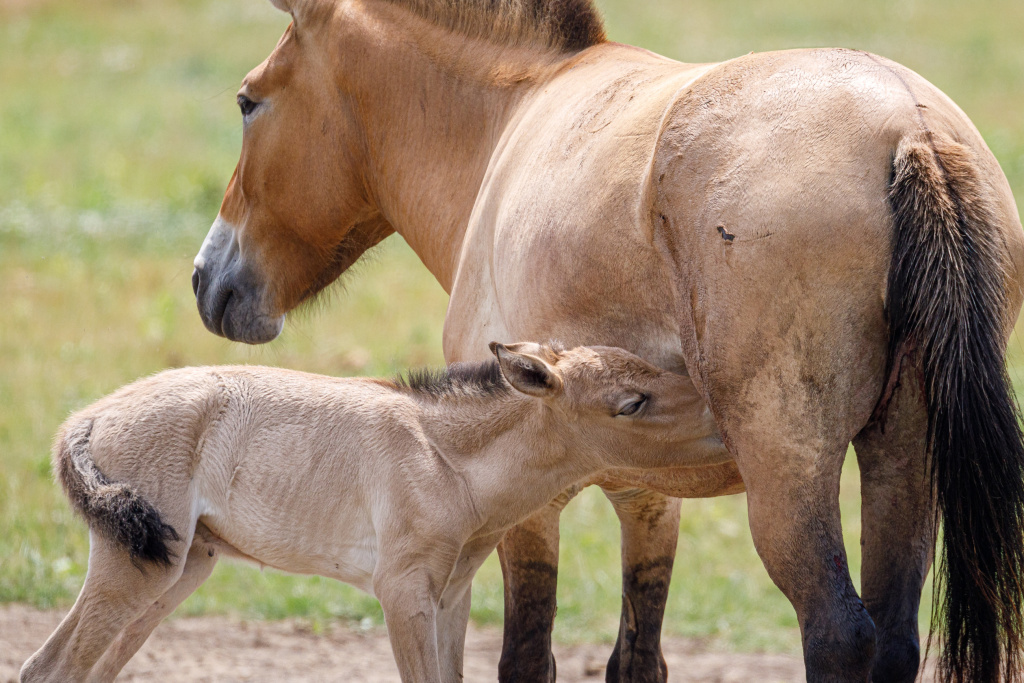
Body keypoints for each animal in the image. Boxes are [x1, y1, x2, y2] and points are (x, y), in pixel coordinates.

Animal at [18, 344, 720, 679]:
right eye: (630, 403)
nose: (718, 415)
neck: (445, 457)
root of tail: (90, 418)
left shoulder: (450, 597)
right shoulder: (402, 592)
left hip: (181, 569)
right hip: (135, 570)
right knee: (48, 668)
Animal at [192, 2, 1024, 679]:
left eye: (248, 101)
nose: (206, 278)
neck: (515, 116)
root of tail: (909, 129)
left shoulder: (526, 494)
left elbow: (528, 655)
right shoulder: (648, 492)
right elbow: (637, 656)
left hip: (791, 472)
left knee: (840, 633)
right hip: (901, 455)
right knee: (893, 638)